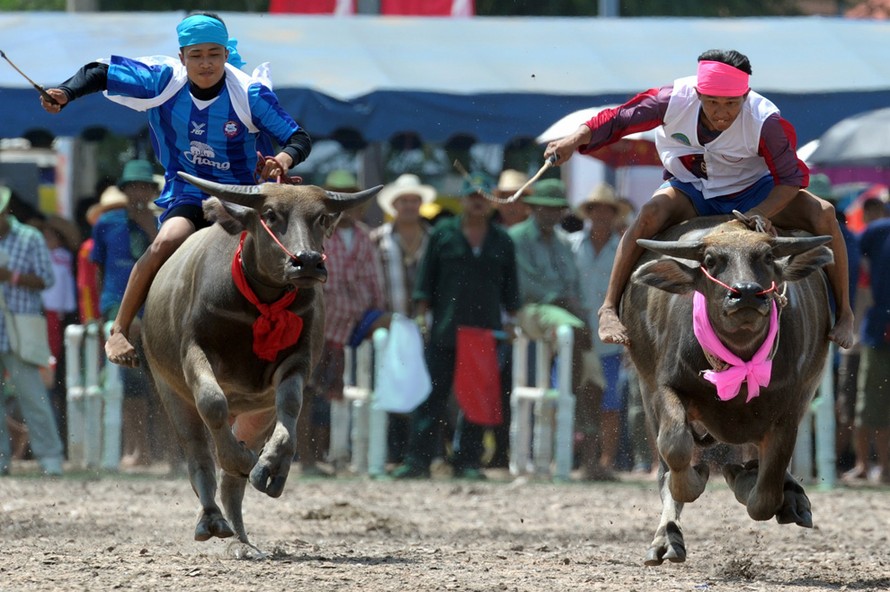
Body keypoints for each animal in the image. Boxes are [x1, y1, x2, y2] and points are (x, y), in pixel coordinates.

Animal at [142, 172, 382, 552]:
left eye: (320, 218)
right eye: (270, 214)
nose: (308, 261)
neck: (260, 305)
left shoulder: (296, 362)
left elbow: (292, 406)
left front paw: (269, 468)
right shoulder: (193, 351)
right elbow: (212, 402)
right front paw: (240, 458)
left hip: (257, 411)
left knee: (234, 482)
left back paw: (242, 538)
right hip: (170, 392)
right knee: (199, 455)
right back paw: (212, 519)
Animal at [616, 216, 832, 564]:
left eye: (767, 258)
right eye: (710, 260)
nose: (746, 294)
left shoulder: (789, 411)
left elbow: (765, 494)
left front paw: (744, 479)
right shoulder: (664, 388)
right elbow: (675, 448)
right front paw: (697, 478)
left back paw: (790, 498)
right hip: (646, 389)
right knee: (664, 468)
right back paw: (667, 539)